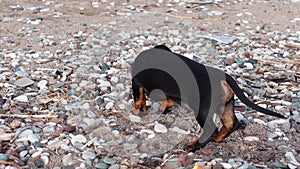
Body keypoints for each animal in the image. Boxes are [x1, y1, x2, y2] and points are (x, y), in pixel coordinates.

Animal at [132, 45, 286, 152]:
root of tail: (222, 77)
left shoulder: (137, 83)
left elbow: (138, 98)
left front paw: (139, 111)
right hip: (225, 105)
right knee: (232, 123)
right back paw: (219, 138)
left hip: (202, 110)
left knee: (212, 130)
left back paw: (193, 146)